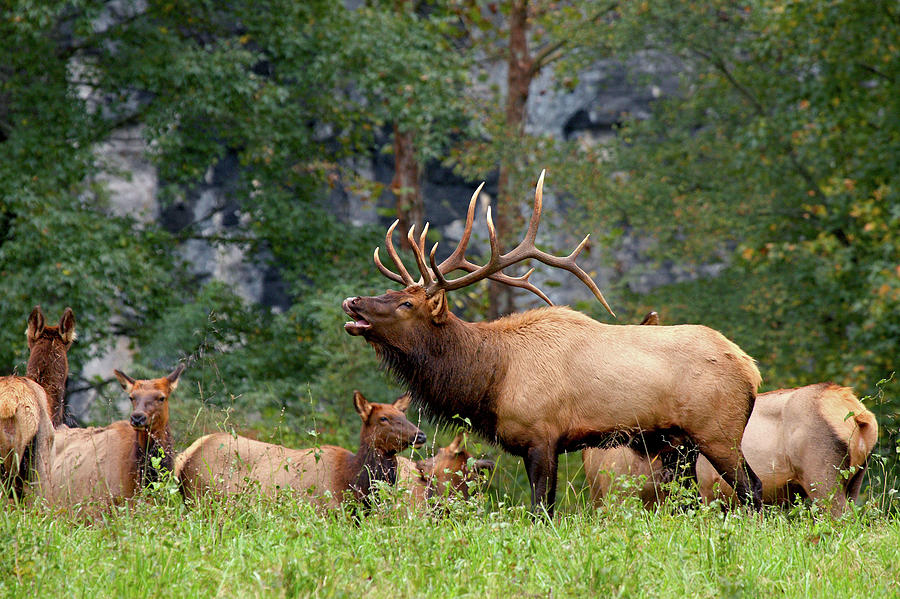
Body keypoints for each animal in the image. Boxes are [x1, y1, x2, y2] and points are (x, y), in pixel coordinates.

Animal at [342, 170, 764, 516]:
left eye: (407, 303)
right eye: (389, 291)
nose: (353, 301)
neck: (491, 379)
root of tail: (751, 369)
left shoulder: (542, 434)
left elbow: (540, 508)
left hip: (718, 431)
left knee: (752, 487)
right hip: (677, 444)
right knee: (688, 499)